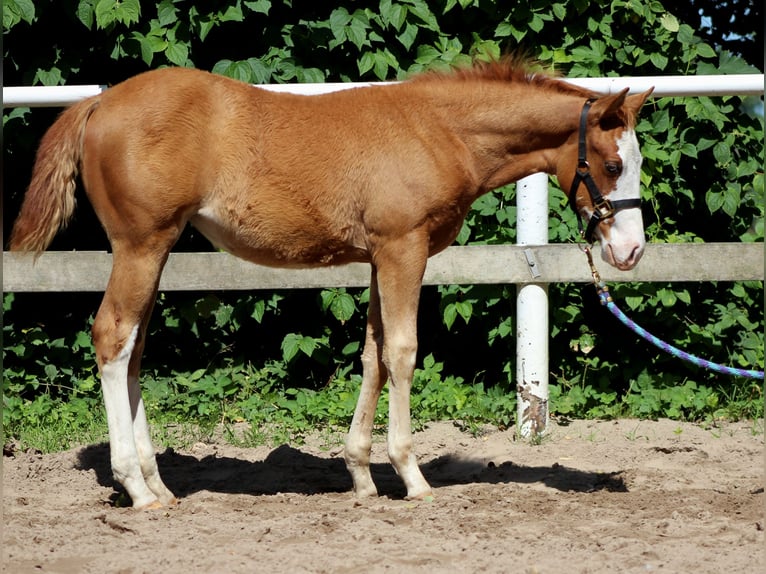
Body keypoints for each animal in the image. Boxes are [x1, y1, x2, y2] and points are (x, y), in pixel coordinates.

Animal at [9, 60, 653, 509]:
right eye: (613, 164)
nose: (630, 251)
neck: (437, 130)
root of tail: (98, 102)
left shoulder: (377, 257)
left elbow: (372, 355)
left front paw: (362, 476)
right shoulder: (403, 249)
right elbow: (402, 351)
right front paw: (411, 476)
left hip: (156, 250)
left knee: (135, 348)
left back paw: (159, 485)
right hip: (141, 246)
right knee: (112, 338)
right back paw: (137, 490)